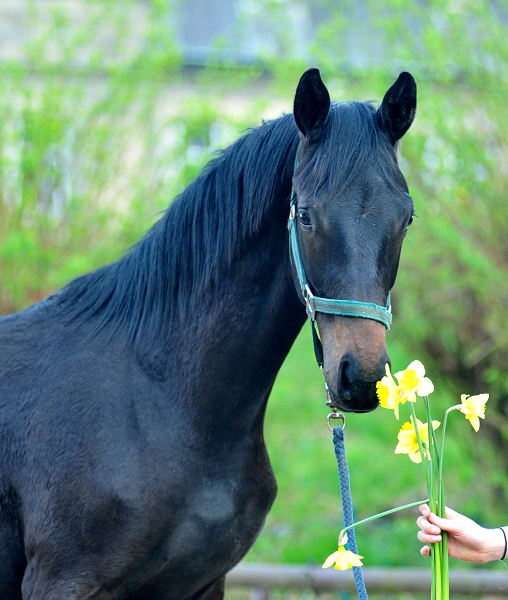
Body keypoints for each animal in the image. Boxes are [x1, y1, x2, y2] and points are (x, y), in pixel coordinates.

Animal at [0, 68, 416, 596]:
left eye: (406, 218)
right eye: (305, 216)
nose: (362, 378)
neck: (163, 403)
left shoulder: (204, 582)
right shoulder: (63, 582)